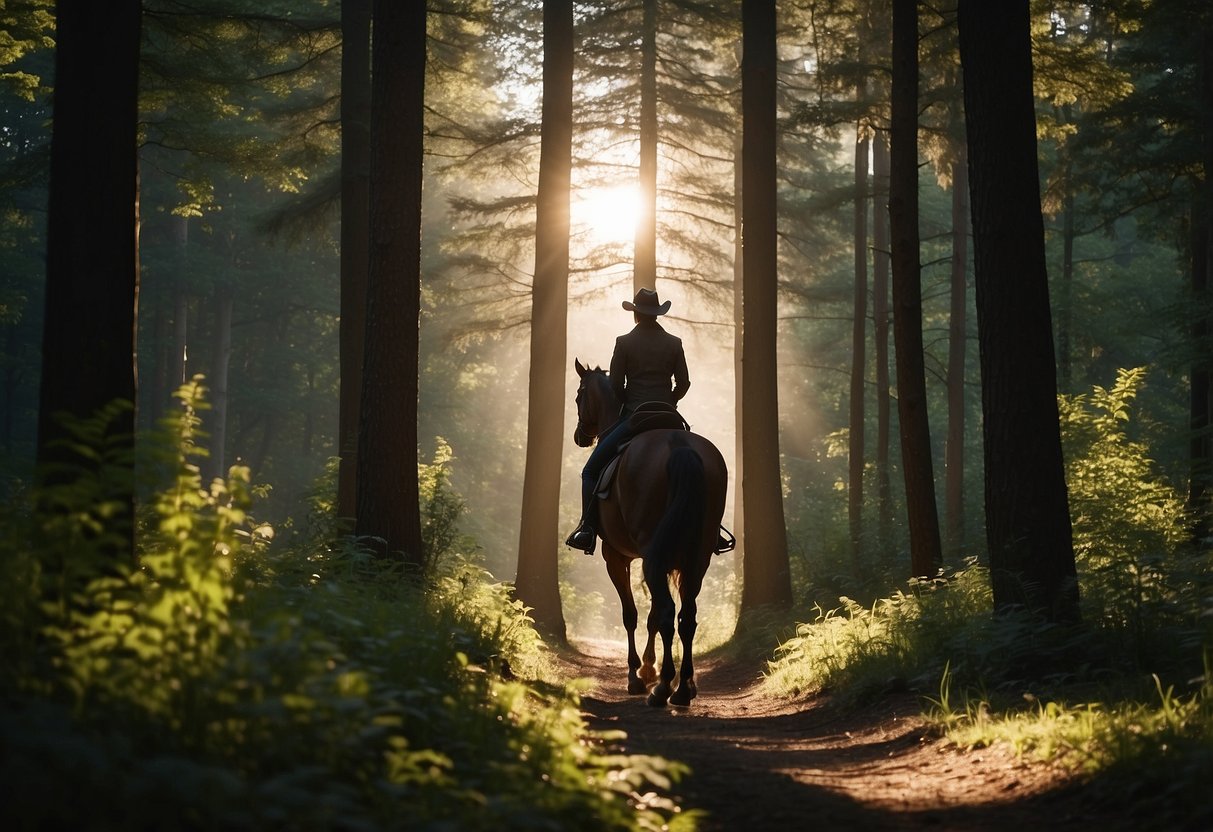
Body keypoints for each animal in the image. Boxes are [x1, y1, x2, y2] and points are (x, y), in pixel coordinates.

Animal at [570, 358, 727, 708]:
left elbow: (631, 614)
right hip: (697, 556)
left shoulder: (616, 556)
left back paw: (663, 689)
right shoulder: (662, 559)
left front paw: (637, 676)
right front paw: (649, 668)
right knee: (687, 616)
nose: (579, 436)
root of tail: (679, 446)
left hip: (654, 553)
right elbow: (653, 615)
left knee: (669, 613)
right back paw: (683, 689)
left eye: (578, 395)